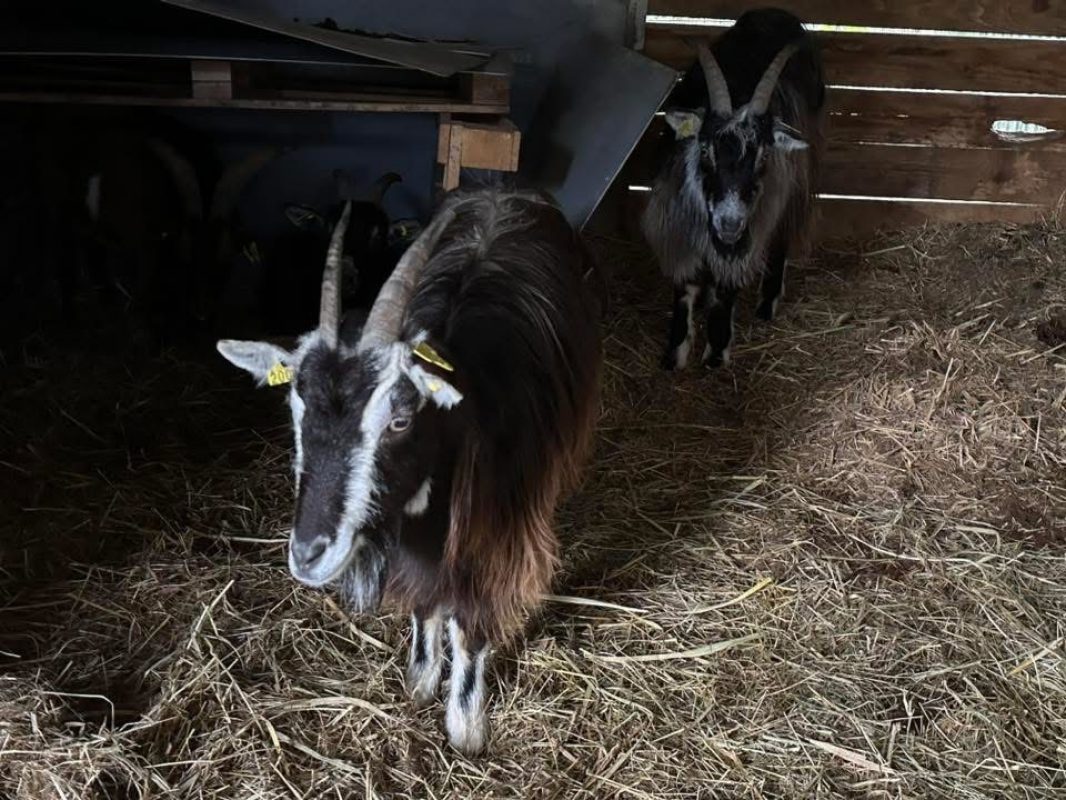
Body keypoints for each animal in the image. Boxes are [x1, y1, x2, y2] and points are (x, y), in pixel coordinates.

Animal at [217, 188, 602, 755]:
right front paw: (419, 683)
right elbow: (426, 604)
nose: (308, 555)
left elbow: (469, 624)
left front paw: (466, 729)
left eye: (399, 419)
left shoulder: (495, 541)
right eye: (295, 408)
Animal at [641, 8, 826, 369]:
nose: (729, 222)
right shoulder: (678, 226)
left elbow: (727, 286)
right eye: (704, 149)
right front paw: (675, 353)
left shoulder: (751, 228)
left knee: (783, 233)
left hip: (794, 181)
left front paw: (716, 351)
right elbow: (684, 287)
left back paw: (767, 302)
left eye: (764, 155)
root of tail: (777, 12)